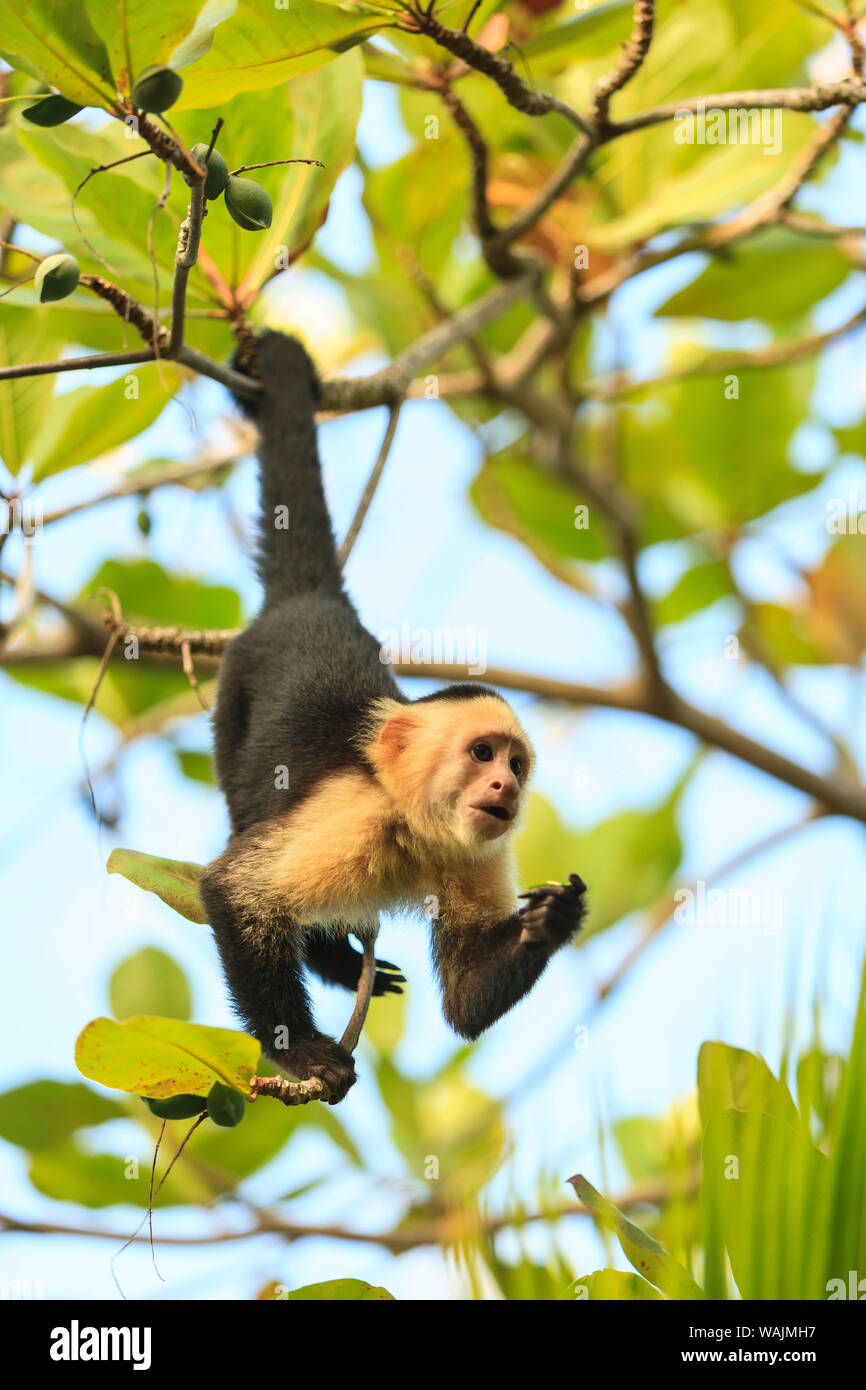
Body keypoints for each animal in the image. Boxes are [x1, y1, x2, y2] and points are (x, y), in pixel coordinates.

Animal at [200, 330, 586, 1100]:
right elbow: (234, 893)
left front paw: (552, 920)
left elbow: (464, 999)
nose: (506, 786)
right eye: (482, 754)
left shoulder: (476, 849)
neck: (412, 823)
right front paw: (303, 1051)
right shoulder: (351, 812)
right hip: (234, 685)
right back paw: (331, 960)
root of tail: (314, 599)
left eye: (516, 763)